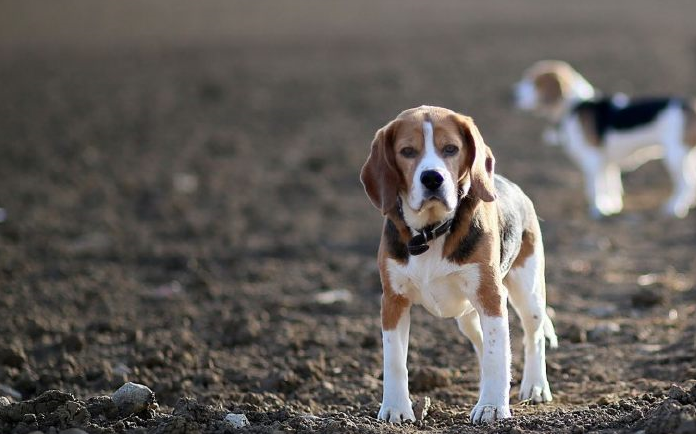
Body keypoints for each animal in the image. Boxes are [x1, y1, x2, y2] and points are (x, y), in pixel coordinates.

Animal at [362, 107, 556, 426]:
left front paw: (491, 407)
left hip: (527, 293)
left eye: (450, 149)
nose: (432, 178)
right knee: (483, 344)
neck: (430, 231)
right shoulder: (393, 300)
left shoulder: (490, 297)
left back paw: (535, 386)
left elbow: (497, 356)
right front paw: (395, 409)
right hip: (467, 317)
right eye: (407, 151)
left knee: (533, 337)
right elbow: (394, 361)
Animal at [512, 59, 696, 219]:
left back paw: (673, 208)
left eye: (534, 81)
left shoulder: (592, 160)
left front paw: (597, 210)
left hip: (675, 155)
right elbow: (610, 186)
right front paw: (612, 207)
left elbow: (594, 188)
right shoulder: (607, 163)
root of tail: (689, 105)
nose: (511, 95)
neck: (575, 106)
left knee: (685, 185)